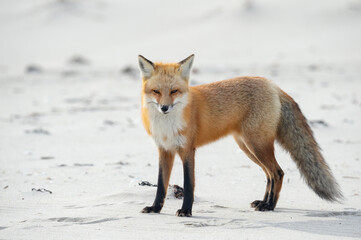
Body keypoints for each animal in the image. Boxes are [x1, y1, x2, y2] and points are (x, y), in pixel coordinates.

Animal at [136, 54, 342, 218]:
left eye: (174, 91)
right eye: (156, 91)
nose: (164, 108)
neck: (167, 125)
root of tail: (273, 85)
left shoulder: (187, 150)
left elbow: (189, 184)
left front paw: (186, 211)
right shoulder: (165, 150)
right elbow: (161, 185)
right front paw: (155, 209)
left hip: (257, 145)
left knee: (278, 172)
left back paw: (270, 206)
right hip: (248, 147)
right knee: (270, 174)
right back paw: (263, 202)